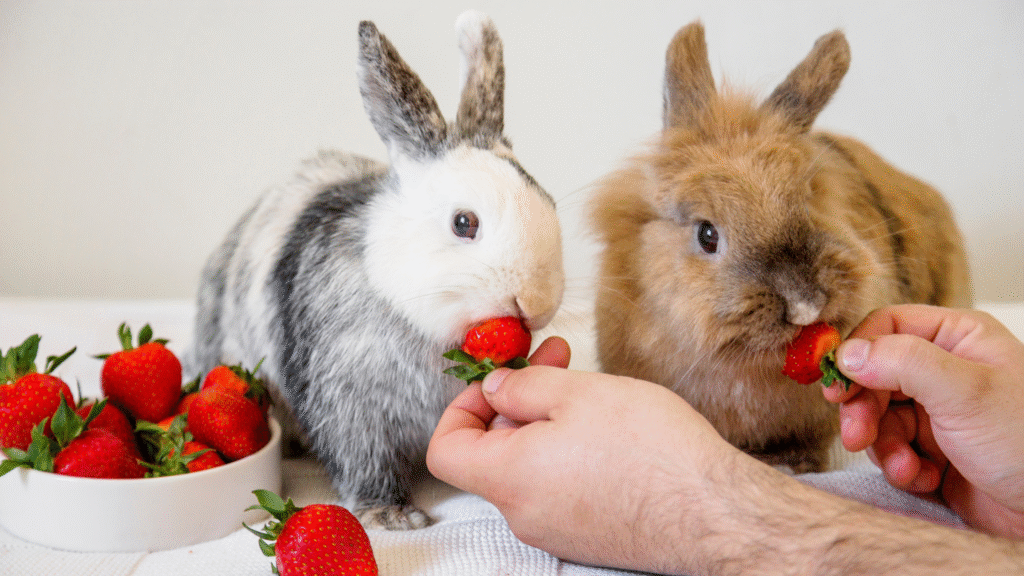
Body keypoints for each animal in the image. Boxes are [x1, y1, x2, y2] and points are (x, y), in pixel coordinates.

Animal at [186, 11, 564, 530]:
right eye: (463, 223)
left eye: (549, 201)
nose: (534, 303)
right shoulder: (350, 407)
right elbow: (362, 460)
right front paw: (391, 516)